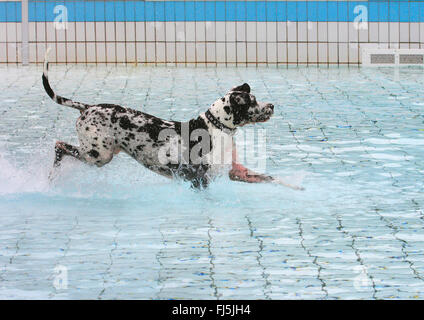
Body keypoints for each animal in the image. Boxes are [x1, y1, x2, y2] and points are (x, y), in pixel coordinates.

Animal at [42, 50, 302, 190]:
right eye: (252, 101)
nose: (271, 106)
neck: (215, 128)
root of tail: (87, 107)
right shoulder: (199, 179)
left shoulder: (237, 172)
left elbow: (272, 178)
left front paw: (299, 186)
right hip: (97, 155)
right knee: (59, 146)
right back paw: (51, 177)